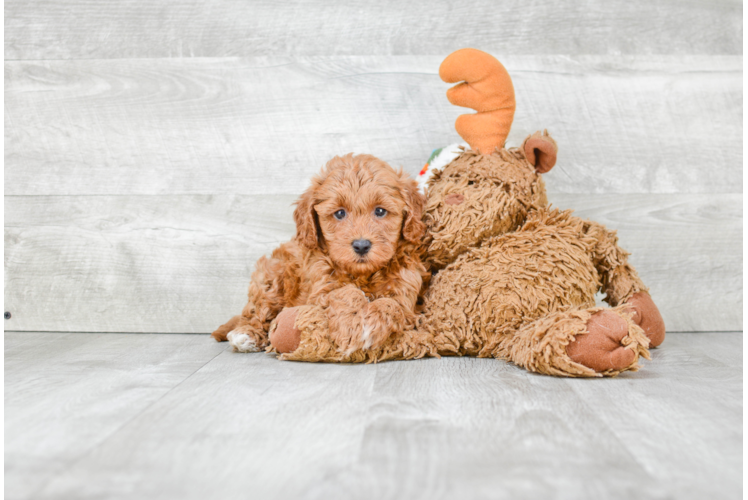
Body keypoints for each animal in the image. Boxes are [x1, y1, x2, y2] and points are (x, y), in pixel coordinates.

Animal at [213, 154, 430, 354]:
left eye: (380, 211)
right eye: (340, 213)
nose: (361, 245)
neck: (363, 274)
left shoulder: (405, 291)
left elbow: (391, 305)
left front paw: (368, 325)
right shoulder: (320, 290)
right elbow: (344, 293)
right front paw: (351, 327)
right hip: (272, 276)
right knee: (255, 312)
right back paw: (246, 334)